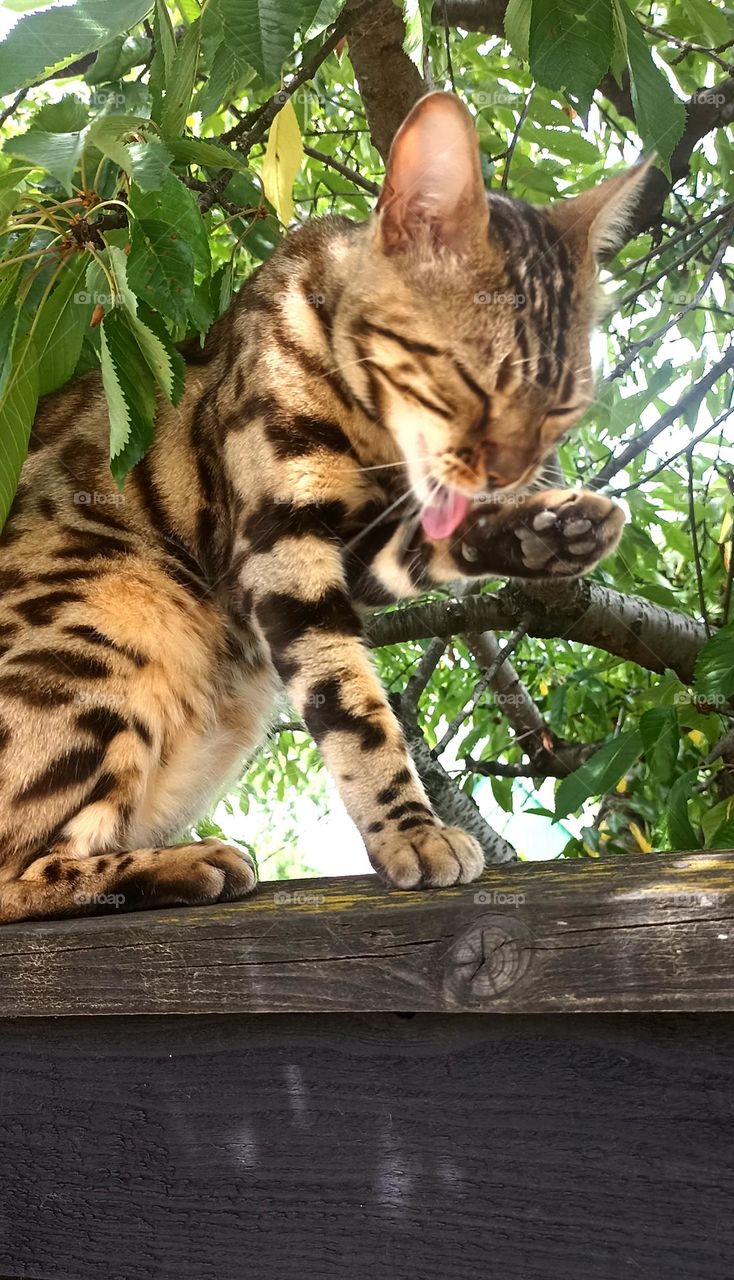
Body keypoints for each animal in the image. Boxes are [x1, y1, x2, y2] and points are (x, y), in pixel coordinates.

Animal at [0, 92, 640, 921]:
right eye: (475, 381)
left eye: (562, 406)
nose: (510, 472)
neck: (371, 434)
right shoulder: (281, 546)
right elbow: (353, 711)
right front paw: (411, 833)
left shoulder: (357, 554)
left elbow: (428, 550)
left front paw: (550, 532)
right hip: (107, 630)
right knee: (19, 872)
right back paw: (186, 862)